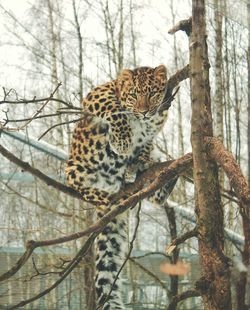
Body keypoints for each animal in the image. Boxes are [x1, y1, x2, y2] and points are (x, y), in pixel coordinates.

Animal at [65, 64, 177, 308]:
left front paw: (140, 157)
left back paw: (162, 176)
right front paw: (123, 140)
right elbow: (115, 109)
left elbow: (147, 139)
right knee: (80, 187)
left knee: (154, 196)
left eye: (152, 93)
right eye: (134, 94)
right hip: (75, 168)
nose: (143, 111)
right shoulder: (97, 94)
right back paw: (113, 198)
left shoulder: (155, 124)